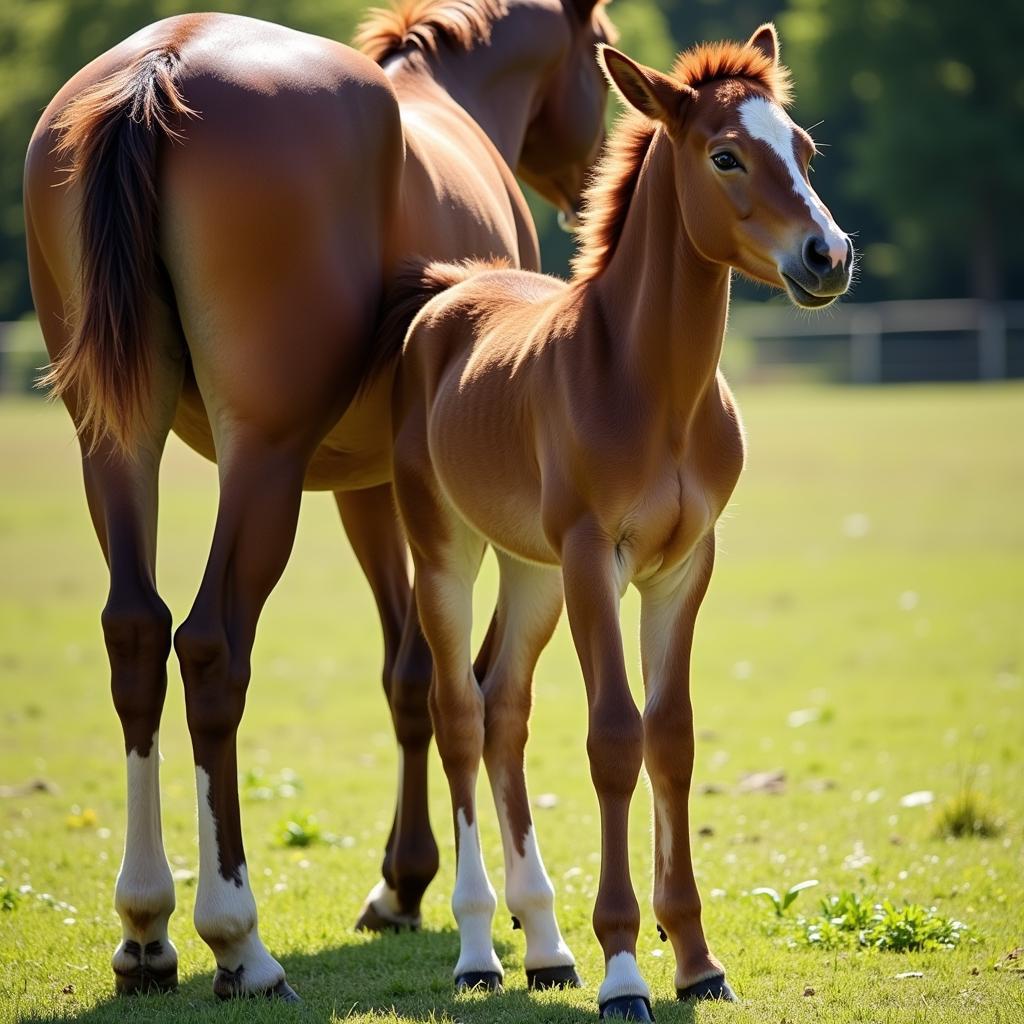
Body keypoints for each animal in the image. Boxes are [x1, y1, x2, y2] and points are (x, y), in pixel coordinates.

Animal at [387, 28, 851, 1019]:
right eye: (725, 155)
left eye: (803, 149)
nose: (827, 255)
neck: (651, 387)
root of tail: (447, 294)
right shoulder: (594, 557)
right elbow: (614, 738)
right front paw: (627, 969)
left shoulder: (684, 566)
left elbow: (671, 736)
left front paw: (697, 960)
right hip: (449, 550)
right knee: (456, 712)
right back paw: (480, 949)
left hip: (531, 571)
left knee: (503, 706)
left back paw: (546, 948)